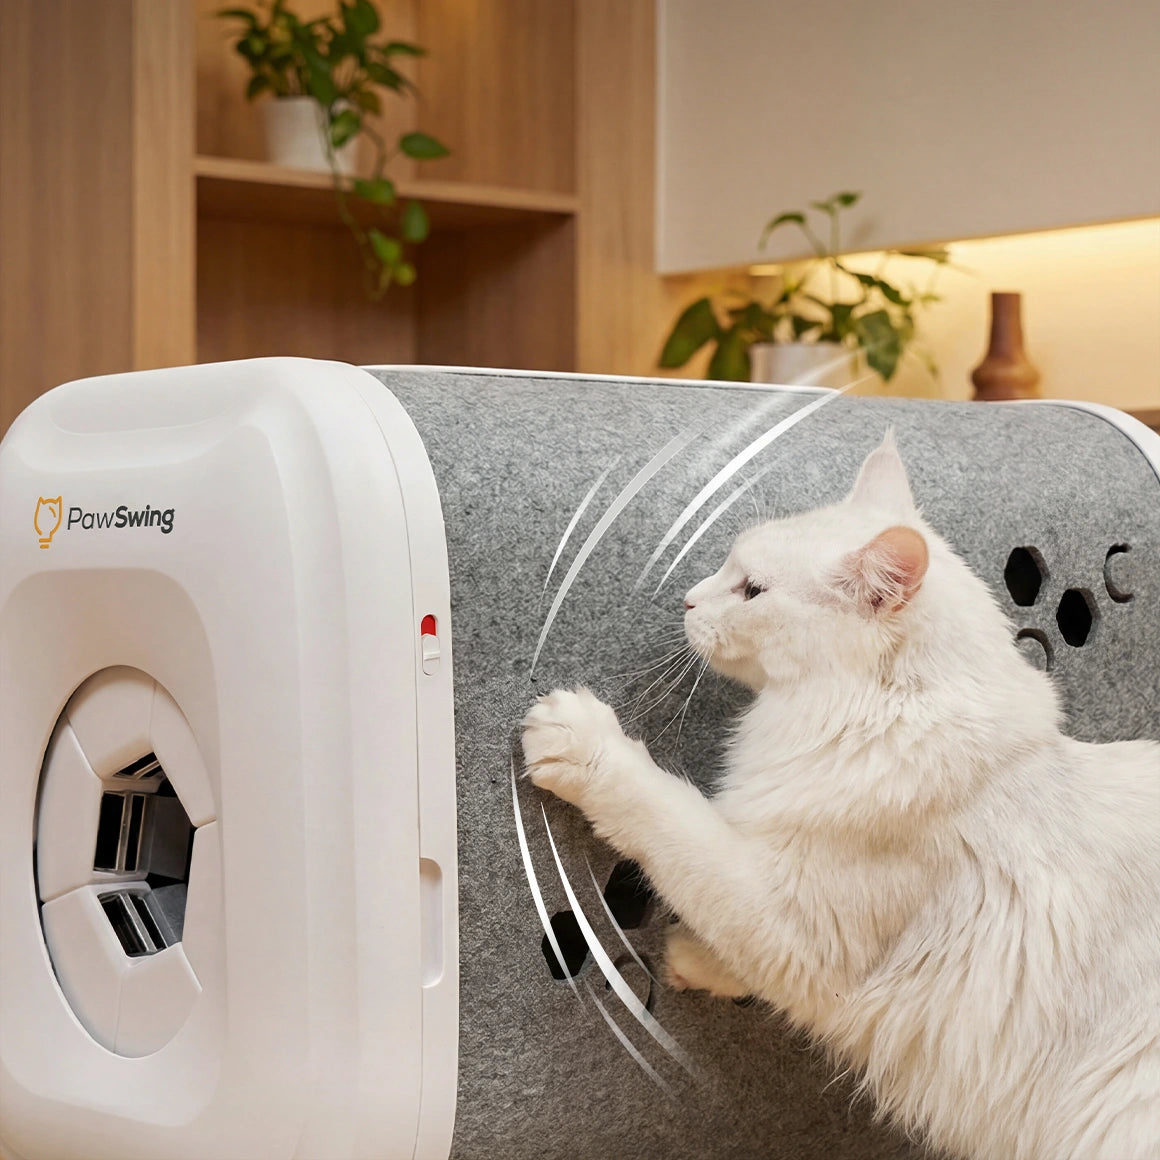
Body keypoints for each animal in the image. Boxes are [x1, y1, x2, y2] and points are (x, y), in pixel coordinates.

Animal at [522, 432, 1160, 1160]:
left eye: (752, 590)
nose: (687, 599)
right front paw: (696, 961)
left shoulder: (792, 921)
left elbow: (671, 826)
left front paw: (574, 737)